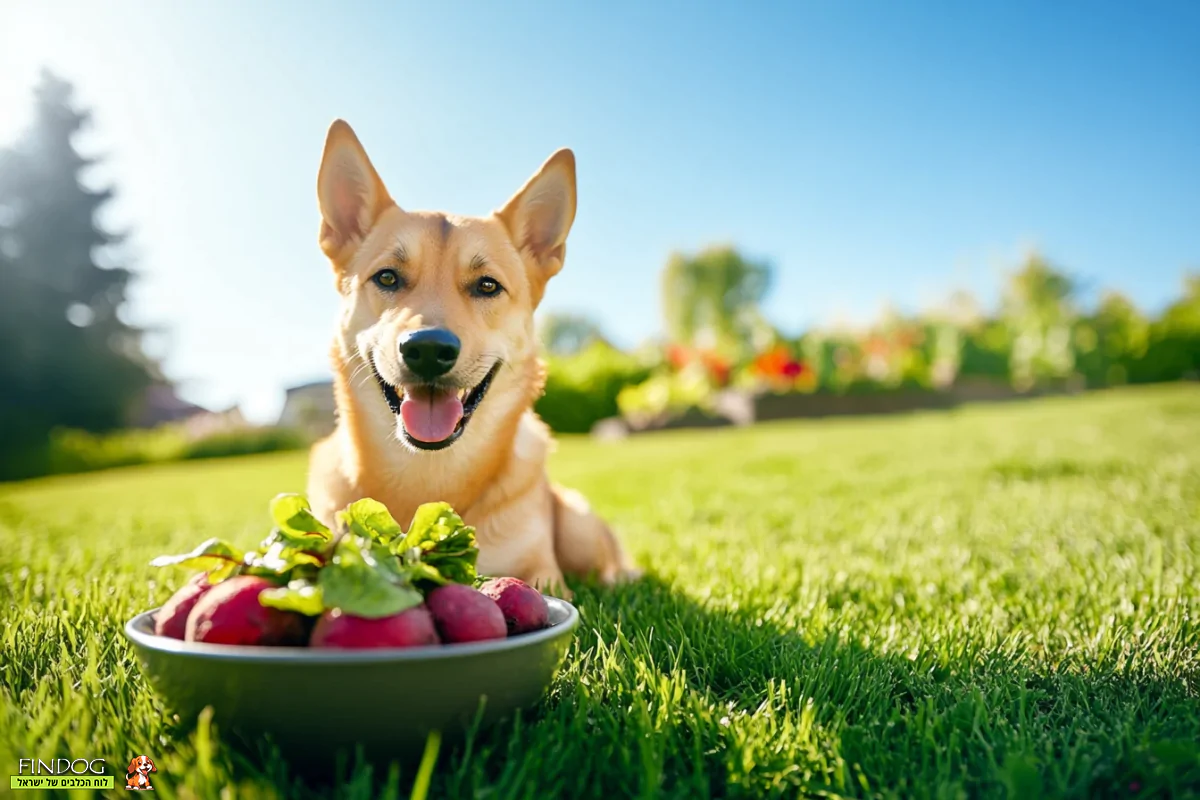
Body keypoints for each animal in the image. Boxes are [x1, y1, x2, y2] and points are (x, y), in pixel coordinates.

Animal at [304, 120, 633, 594]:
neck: (429, 474)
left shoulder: (546, 577)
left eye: (488, 286)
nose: (427, 349)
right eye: (387, 277)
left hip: (578, 527)